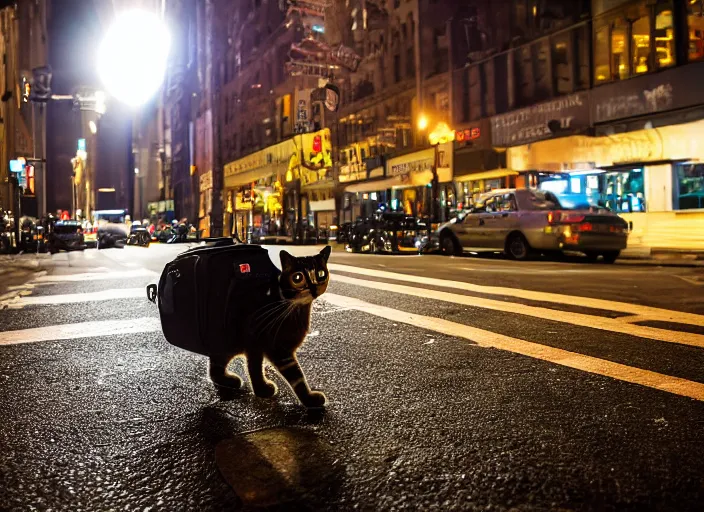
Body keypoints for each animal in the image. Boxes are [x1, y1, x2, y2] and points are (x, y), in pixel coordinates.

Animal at [208, 244, 332, 408]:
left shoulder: (263, 348)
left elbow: (256, 367)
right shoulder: (275, 349)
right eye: (298, 278)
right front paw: (309, 399)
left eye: (321, 273)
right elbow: (295, 377)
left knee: (215, 366)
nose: (313, 289)